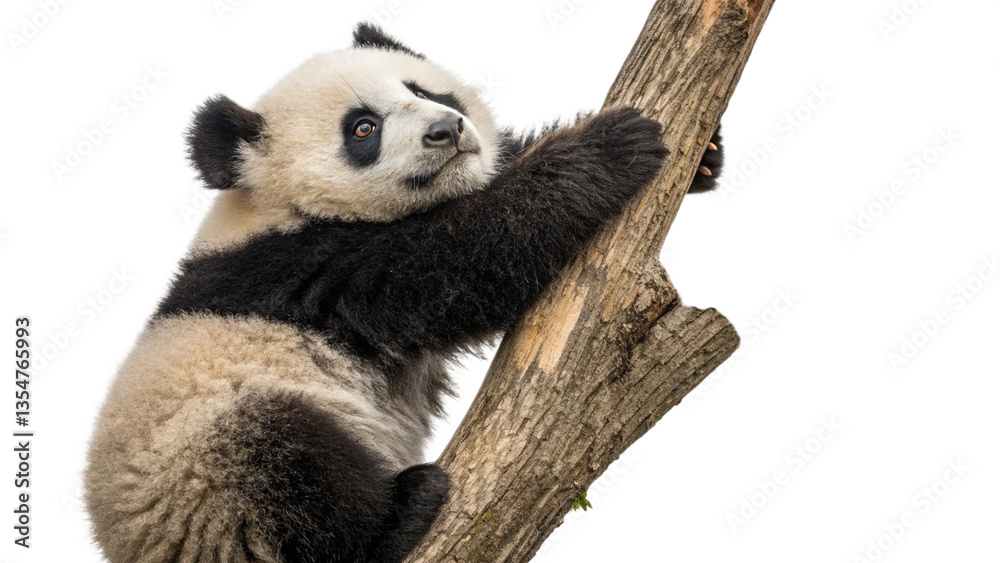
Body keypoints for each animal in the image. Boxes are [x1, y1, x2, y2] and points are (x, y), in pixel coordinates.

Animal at [84, 23, 723, 563]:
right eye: (363, 128)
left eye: (424, 89)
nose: (448, 130)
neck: (272, 208)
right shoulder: (309, 267)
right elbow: (458, 265)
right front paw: (607, 149)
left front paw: (706, 156)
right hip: (202, 472)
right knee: (283, 461)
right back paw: (399, 516)